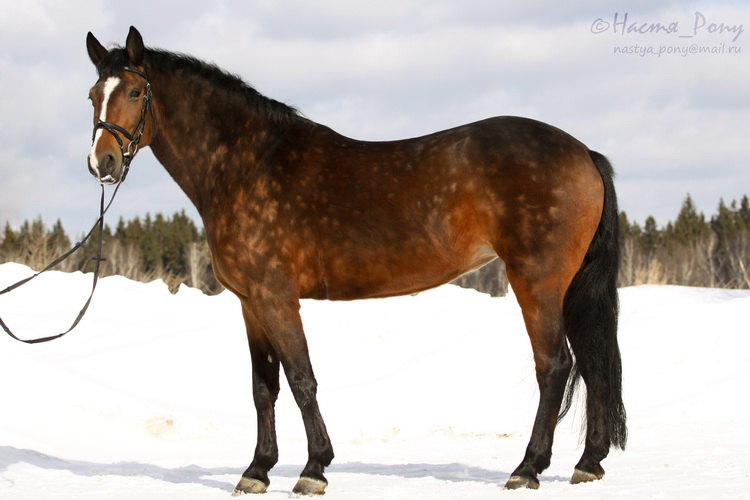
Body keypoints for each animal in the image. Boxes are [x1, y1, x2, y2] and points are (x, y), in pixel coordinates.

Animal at [85, 26, 624, 492]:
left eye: (135, 92)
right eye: (93, 95)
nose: (101, 163)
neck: (247, 164)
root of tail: (583, 152)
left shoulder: (276, 297)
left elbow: (301, 379)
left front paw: (313, 469)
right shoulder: (250, 302)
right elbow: (264, 387)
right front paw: (257, 470)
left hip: (537, 281)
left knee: (555, 365)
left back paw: (527, 467)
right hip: (568, 286)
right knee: (594, 361)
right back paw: (589, 463)